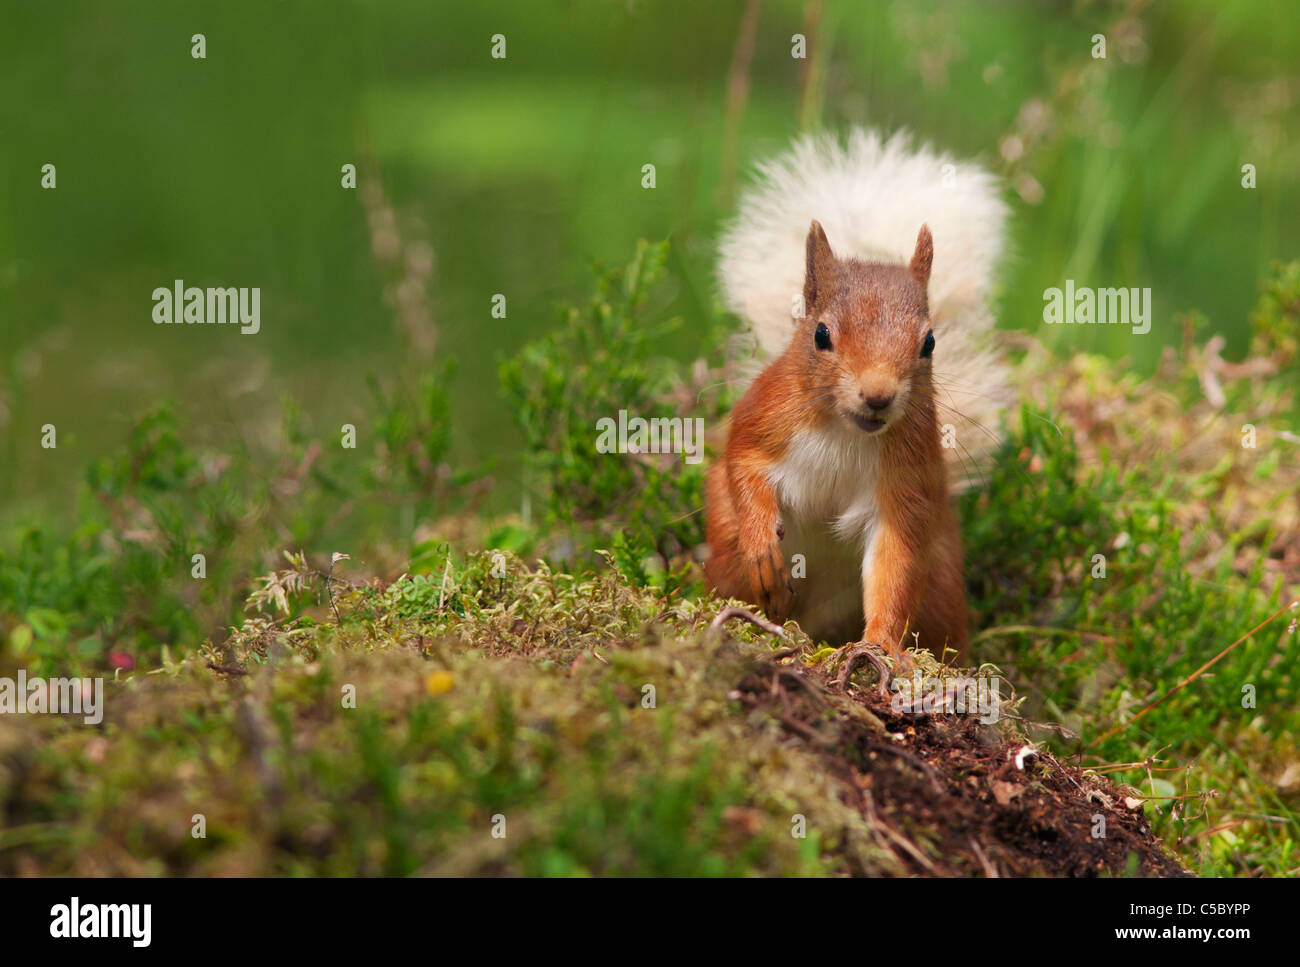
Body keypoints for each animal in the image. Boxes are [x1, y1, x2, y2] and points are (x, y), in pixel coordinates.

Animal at [707, 128, 1008, 660]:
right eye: (821, 334)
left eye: (929, 342)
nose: (878, 395)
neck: (843, 431)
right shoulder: (764, 416)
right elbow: (742, 465)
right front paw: (762, 547)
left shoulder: (906, 483)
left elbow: (894, 564)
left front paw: (880, 645)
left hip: (941, 586)